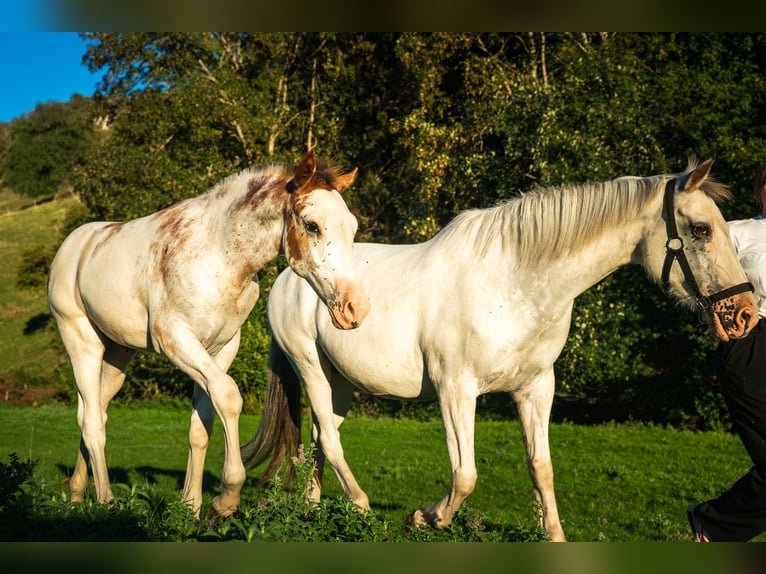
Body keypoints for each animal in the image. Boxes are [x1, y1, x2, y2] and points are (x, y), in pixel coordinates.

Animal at [47, 150, 371, 520]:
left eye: (352, 227)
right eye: (312, 224)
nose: (355, 309)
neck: (219, 257)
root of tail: (73, 246)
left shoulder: (220, 348)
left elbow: (201, 426)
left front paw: (191, 507)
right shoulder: (176, 340)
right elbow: (229, 397)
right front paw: (226, 498)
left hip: (117, 355)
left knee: (93, 411)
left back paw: (76, 492)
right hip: (81, 342)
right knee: (92, 422)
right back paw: (105, 500)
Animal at [240, 159, 757, 541]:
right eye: (701, 229)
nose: (744, 313)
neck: (515, 283)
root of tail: (288, 277)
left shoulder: (536, 388)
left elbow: (541, 468)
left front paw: (554, 535)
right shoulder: (456, 390)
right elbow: (465, 474)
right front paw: (424, 518)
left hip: (340, 383)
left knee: (318, 439)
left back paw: (313, 511)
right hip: (310, 368)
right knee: (328, 439)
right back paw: (362, 510)